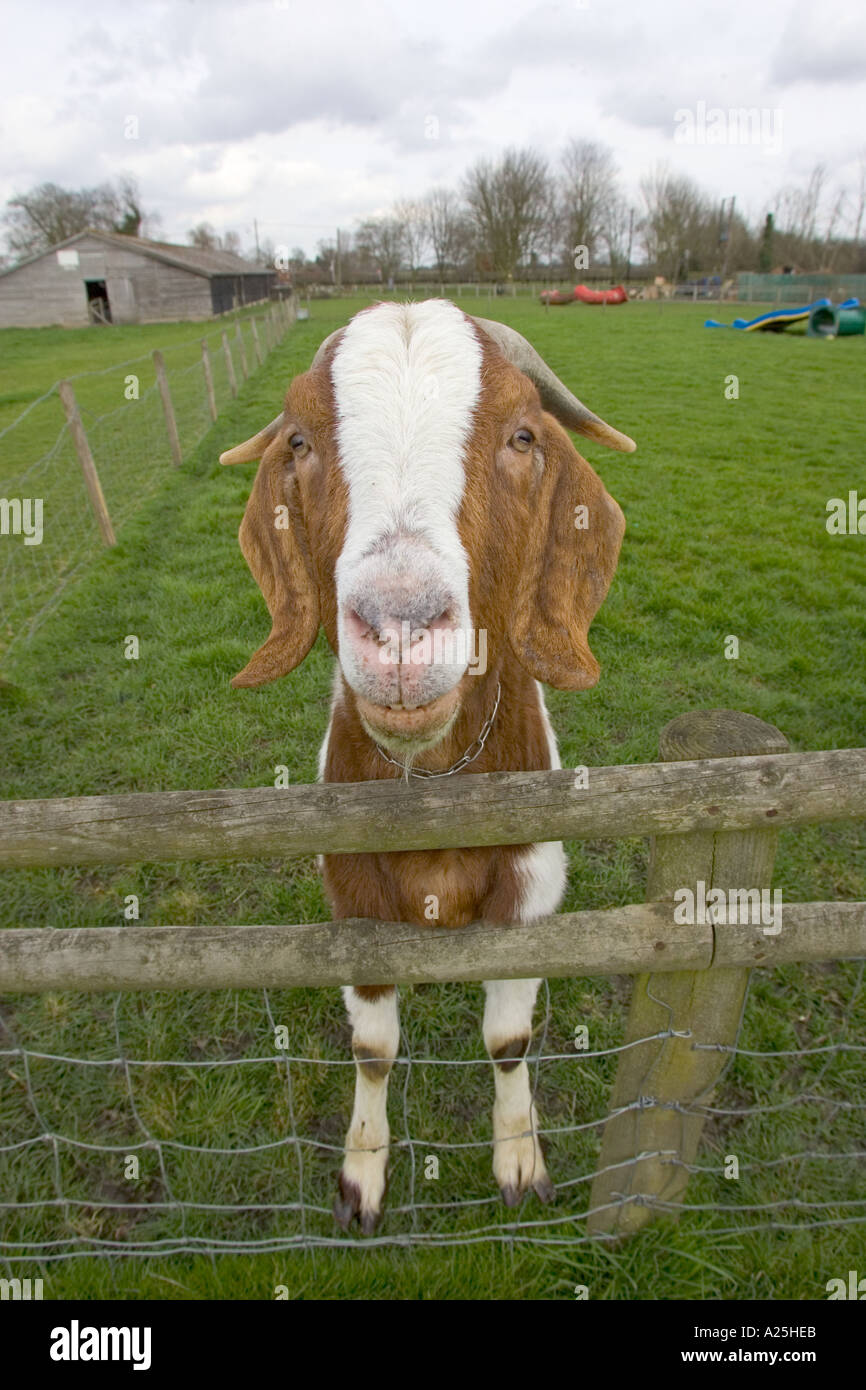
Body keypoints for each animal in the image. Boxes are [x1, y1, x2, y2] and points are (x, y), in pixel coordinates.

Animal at [220, 300, 634, 1233]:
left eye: (522, 435)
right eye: (299, 440)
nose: (402, 622)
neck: (435, 791)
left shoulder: (533, 887)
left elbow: (508, 1040)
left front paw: (519, 1159)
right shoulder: (352, 897)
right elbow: (373, 1047)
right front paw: (362, 1173)